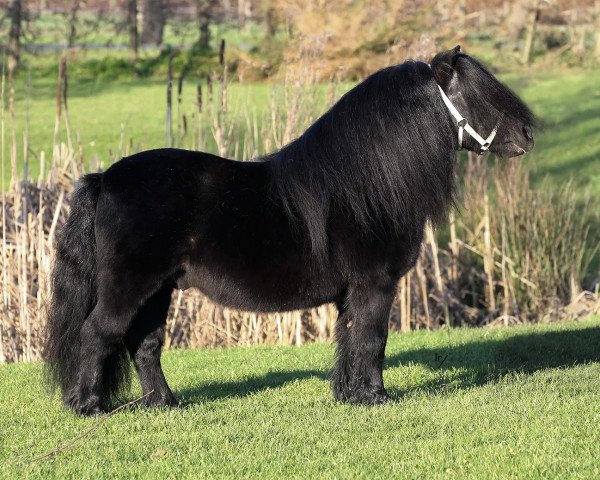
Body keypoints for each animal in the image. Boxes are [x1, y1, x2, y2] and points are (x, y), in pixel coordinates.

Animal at [44, 47, 536, 414]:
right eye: (479, 94)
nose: (529, 134)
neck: (366, 184)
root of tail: (105, 178)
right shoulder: (376, 284)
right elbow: (373, 339)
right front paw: (376, 397)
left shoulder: (353, 291)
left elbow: (349, 338)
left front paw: (349, 395)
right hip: (130, 285)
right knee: (98, 333)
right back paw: (88, 406)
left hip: (159, 289)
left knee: (145, 343)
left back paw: (165, 403)